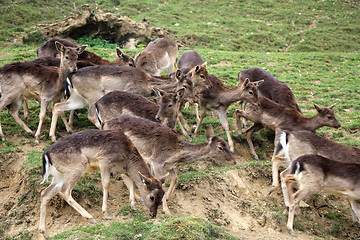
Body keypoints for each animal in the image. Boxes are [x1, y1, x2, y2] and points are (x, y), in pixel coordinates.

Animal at [38, 127, 166, 238]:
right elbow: (106, 183)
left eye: (162, 195)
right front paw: (106, 214)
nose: (153, 214)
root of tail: (46, 155)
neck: (127, 158)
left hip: (59, 176)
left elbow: (130, 184)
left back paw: (45, 233)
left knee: (45, 193)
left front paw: (133, 206)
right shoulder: (104, 160)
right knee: (64, 191)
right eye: (152, 197)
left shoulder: (123, 170)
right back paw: (91, 218)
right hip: (76, 167)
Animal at [102, 115, 236, 215]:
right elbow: (161, 184)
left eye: (226, 144)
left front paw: (166, 198)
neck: (176, 152)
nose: (234, 161)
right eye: (220, 147)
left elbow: (174, 177)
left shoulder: (168, 165)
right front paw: (166, 210)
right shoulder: (157, 161)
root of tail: (104, 123)